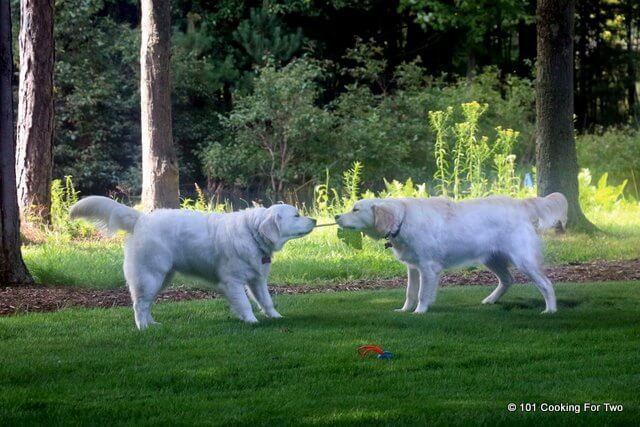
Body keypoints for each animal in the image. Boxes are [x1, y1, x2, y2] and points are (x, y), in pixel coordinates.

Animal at [70, 196, 316, 330]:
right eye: (296, 215)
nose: (314, 219)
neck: (252, 233)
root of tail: (141, 219)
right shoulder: (233, 282)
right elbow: (245, 304)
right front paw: (252, 321)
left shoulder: (257, 280)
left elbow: (267, 301)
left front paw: (276, 317)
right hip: (149, 276)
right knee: (139, 305)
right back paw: (143, 329)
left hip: (161, 278)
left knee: (147, 304)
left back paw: (153, 325)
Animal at [336, 195, 564, 314]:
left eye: (356, 209)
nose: (336, 215)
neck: (402, 220)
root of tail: (520, 204)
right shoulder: (413, 268)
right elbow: (410, 292)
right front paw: (404, 310)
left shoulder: (428, 268)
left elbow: (422, 294)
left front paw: (419, 312)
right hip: (492, 259)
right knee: (508, 280)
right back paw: (490, 300)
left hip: (523, 260)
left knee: (546, 284)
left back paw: (550, 310)